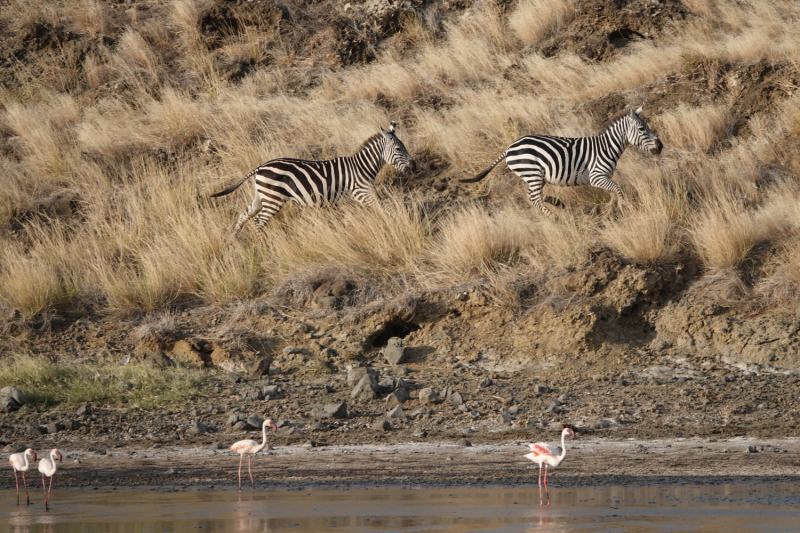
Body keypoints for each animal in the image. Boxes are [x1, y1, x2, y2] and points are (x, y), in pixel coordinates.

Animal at [209, 123, 416, 236]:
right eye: (399, 149)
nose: (413, 166)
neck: (362, 166)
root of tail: (260, 167)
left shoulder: (348, 198)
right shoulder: (362, 191)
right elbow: (385, 208)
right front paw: (396, 222)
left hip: (262, 196)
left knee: (244, 215)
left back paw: (233, 241)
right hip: (273, 199)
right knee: (258, 222)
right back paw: (265, 247)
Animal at [460, 106, 664, 218]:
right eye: (641, 129)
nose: (660, 146)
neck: (607, 147)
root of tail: (510, 147)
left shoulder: (604, 178)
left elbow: (613, 192)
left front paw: (610, 209)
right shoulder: (596, 176)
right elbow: (618, 190)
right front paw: (624, 208)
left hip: (535, 176)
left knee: (532, 196)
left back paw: (555, 203)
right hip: (532, 172)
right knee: (534, 198)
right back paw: (555, 216)